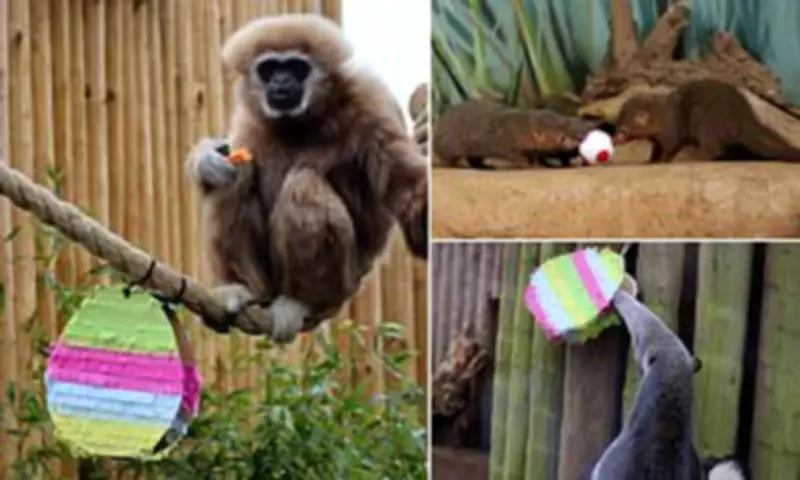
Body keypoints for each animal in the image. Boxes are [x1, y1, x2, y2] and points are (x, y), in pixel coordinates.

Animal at [185, 14, 428, 343]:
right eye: (269, 69)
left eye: (297, 68)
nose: (281, 81)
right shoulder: (248, 117)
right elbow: (230, 156)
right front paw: (207, 159)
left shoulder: (371, 100)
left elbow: (406, 189)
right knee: (234, 176)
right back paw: (242, 289)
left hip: (343, 281)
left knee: (303, 183)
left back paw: (301, 301)